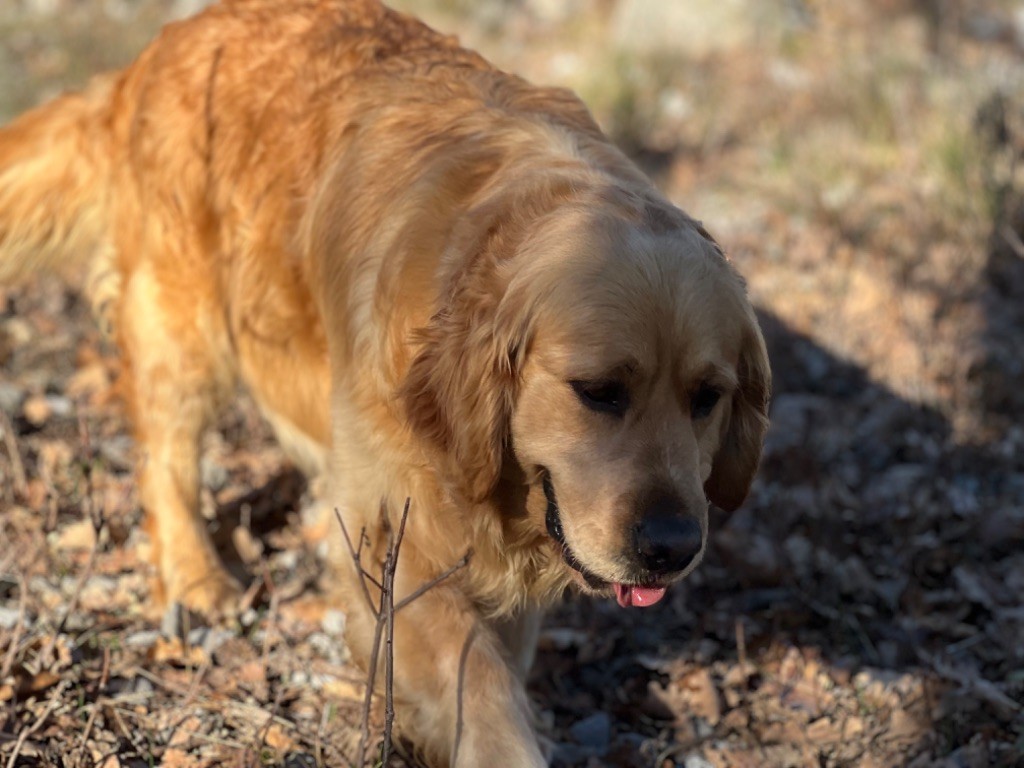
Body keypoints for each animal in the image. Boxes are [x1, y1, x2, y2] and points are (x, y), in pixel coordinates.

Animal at [0, 0, 770, 765]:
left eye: (708, 397)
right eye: (599, 390)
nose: (672, 547)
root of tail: (164, 42)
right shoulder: (401, 539)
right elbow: (475, 679)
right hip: (183, 328)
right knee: (167, 462)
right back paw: (198, 575)